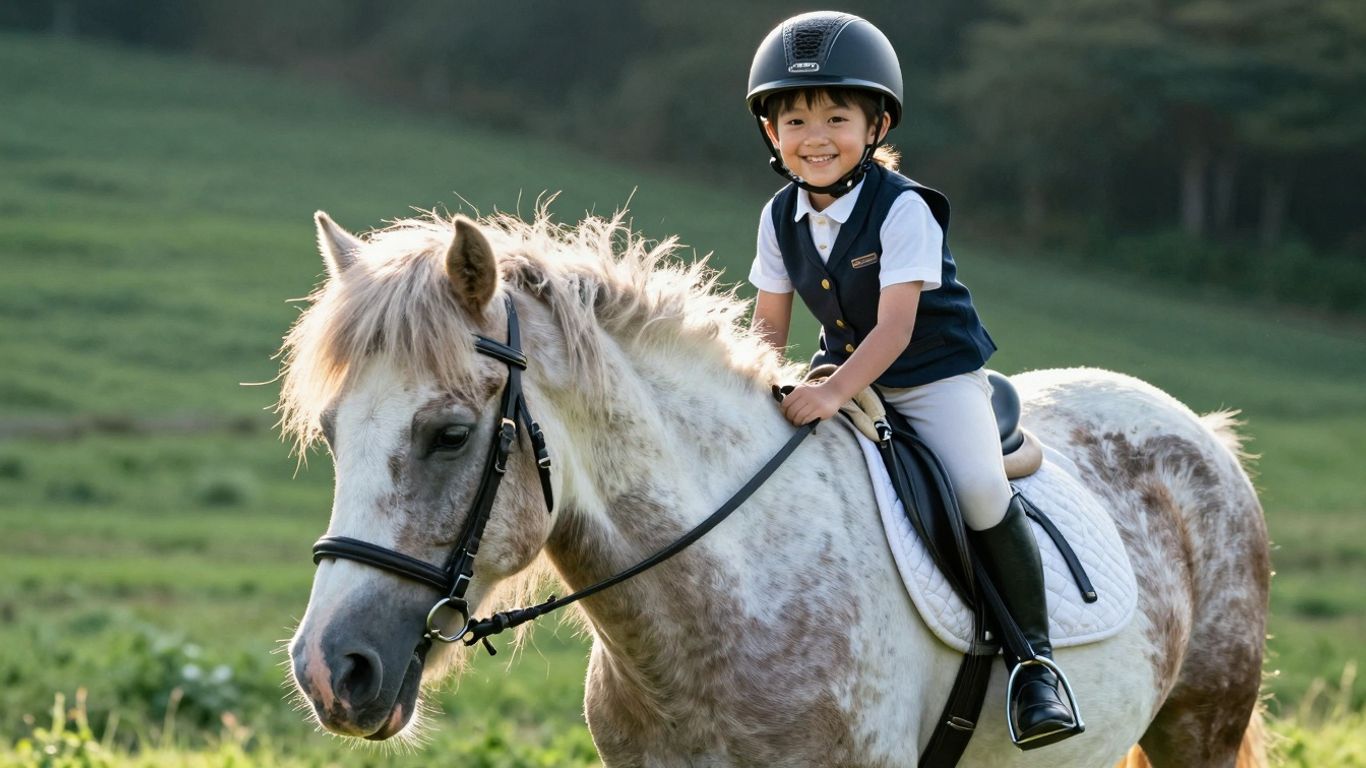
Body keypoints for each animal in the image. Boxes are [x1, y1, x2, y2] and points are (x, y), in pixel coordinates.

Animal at [282, 208, 1270, 768]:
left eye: (449, 435)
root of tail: (1202, 433)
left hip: (1200, 730)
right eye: (332, 435)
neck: (725, 600)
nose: (331, 672)